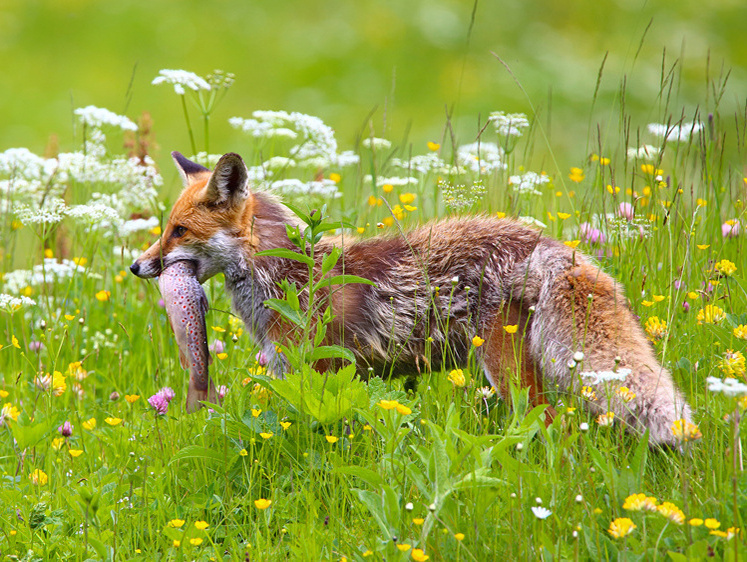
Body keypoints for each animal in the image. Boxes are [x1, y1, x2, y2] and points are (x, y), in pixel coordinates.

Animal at [130, 151, 696, 444]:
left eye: (179, 231)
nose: (137, 266)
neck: (287, 275)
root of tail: (543, 244)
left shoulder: (316, 371)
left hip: (506, 371)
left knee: (553, 426)